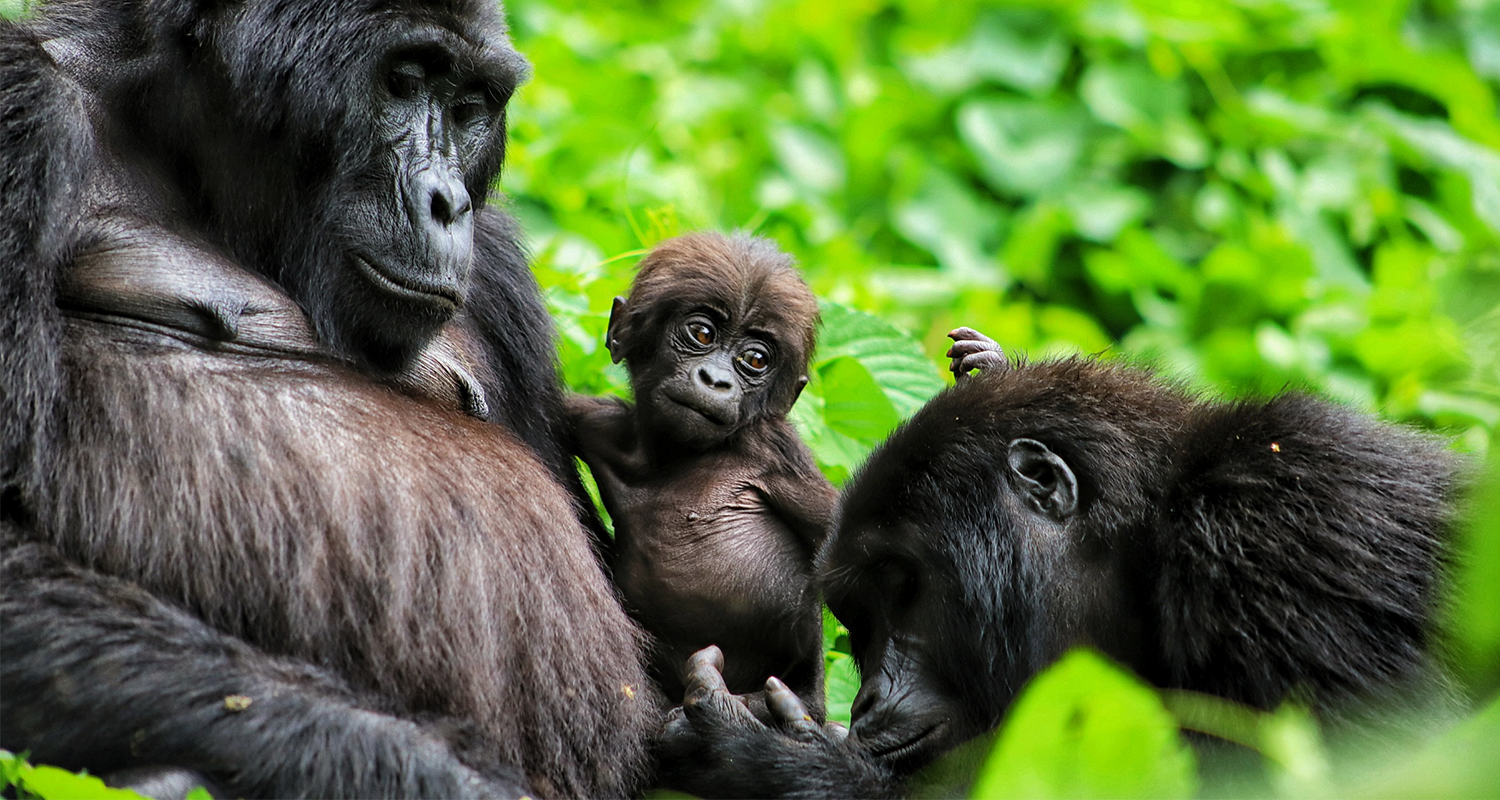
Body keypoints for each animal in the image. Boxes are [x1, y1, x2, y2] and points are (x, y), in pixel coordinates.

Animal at [1, 3, 657, 792]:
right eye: (403, 79)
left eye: (469, 106)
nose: (449, 202)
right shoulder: (20, 110)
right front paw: (445, 777)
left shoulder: (503, 272)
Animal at [567, 234, 840, 714]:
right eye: (702, 333)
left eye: (754, 359)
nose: (715, 379)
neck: (675, 458)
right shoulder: (600, 423)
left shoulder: (774, 451)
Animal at [654, 328, 1452, 798]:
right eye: (860, 621)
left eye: (904, 588)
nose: (866, 701)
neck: (1149, 547)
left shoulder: (1282, 542)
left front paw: (777, 763)